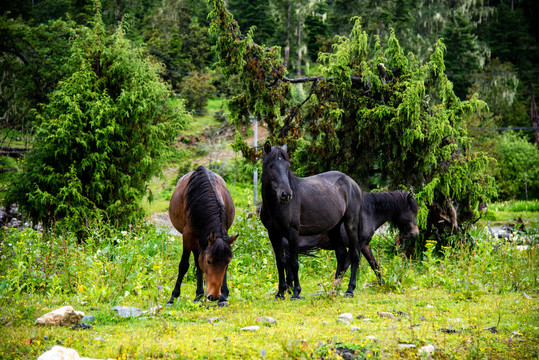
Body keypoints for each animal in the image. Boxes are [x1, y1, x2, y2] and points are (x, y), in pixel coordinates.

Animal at [168, 165, 237, 306]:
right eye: (209, 261)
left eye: (227, 262)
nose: (214, 296)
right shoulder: (188, 237)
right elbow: (184, 265)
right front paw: (173, 296)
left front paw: (223, 297)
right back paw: (198, 294)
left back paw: (199, 294)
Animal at [260, 142, 362, 300]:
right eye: (271, 166)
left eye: (288, 166)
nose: (286, 195)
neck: (275, 206)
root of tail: (352, 182)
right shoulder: (273, 234)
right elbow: (280, 262)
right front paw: (280, 293)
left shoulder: (293, 233)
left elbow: (294, 263)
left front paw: (296, 292)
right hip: (333, 228)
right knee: (341, 254)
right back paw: (334, 289)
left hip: (351, 224)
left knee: (354, 255)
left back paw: (349, 290)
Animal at [284, 190, 420, 286]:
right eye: (412, 211)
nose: (415, 234)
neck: (367, 212)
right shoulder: (356, 245)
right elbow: (346, 266)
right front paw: (336, 286)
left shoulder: (364, 245)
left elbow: (374, 265)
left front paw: (382, 284)